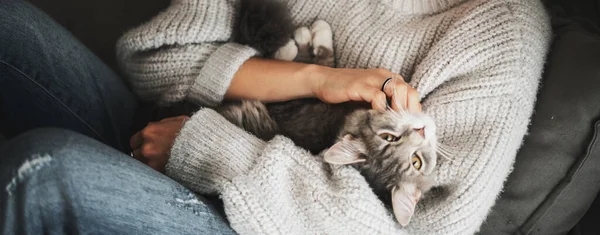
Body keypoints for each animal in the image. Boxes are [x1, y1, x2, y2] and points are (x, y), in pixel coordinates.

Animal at [220, 0, 440, 226]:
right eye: (389, 137)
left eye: (417, 161)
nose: (421, 130)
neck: (342, 121)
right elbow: (319, 62)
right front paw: (308, 35)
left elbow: (316, 58)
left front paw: (307, 36)